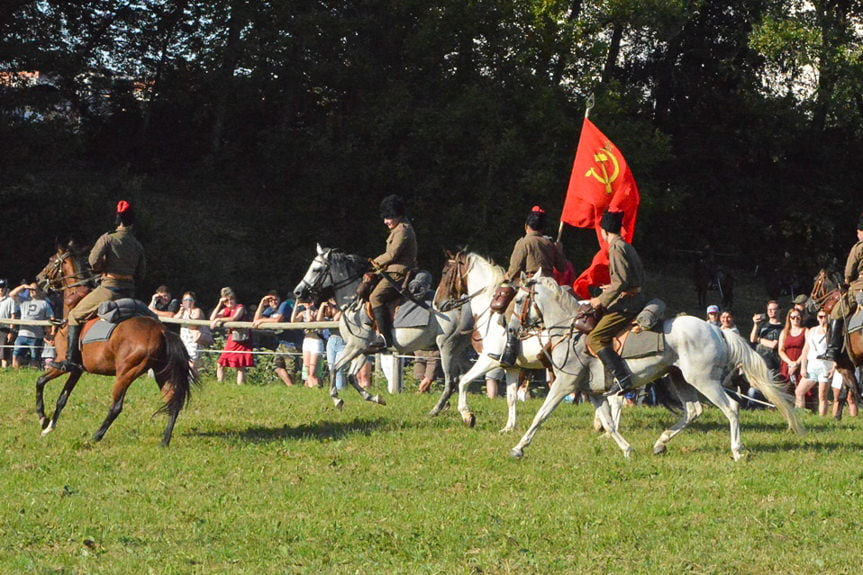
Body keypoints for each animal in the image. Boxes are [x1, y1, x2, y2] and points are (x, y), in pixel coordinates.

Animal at [34, 245, 198, 448]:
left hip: (125, 374)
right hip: (161, 372)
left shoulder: (61, 363)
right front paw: (49, 427)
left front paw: (43, 419)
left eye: (51, 260)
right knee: (173, 401)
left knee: (116, 407)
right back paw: (164, 441)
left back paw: (96, 436)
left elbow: (40, 381)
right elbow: (62, 398)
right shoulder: (77, 370)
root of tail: (161, 331)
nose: (39, 278)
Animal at [296, 245, 472, 412]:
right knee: (465, 376)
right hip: (459, 348)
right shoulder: (364, 350)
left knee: (451, 380)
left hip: (446, 347)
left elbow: (335, 368)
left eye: (316, 269)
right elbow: (352, 376)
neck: (355, 302)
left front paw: (337, 400)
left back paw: (437, 409)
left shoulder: (355, 347)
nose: (298, 292)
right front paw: (375, 398)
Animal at [506, 272, 804, 462]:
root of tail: (715, 329)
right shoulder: (592, 392)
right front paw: (627, 449)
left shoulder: (563, 384)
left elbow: (541, 415)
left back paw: (737, 450)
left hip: (704, 381)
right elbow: (609, 424)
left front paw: (518, 448)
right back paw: (661, 443)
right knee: (693, 411)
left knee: (731, 408)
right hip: (680, 379)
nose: (511, 329)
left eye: (519, 300)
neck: (571, 331)